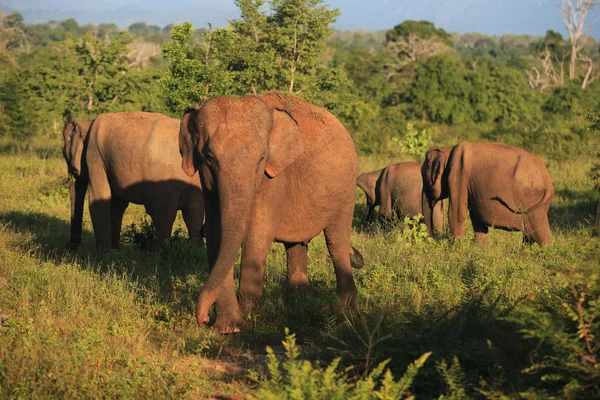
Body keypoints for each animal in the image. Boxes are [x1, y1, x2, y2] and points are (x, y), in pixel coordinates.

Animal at [62, 111, 205, 252]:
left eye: (64, 155)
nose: (71, 246)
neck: (87, 123)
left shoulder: (94, 156)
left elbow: (99, 198)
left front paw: (104, 253)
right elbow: (117, 204)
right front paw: (115, 251)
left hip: (164, 185)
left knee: (163, 216)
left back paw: (159, 254)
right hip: (195, 183)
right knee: (194, 216)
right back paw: (195, 252)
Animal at [179, 92, 360, 332]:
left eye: (261, 159)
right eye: (209, 158)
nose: (203, 319)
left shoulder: (275, 178)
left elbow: (257, 234)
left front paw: (248, 320)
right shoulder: (208, 185)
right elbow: (216, 235)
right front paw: (228, 328)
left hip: (347, 190)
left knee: (336, 241)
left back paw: (345, 312)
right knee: (296, 244)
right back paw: (299, 300)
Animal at [422, 142, 552, 245]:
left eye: (423, 176)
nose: (431, 239)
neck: (447, 150)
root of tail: (547, 180)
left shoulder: (458, 175)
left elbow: (456, 213)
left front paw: (456, 248)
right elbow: (476, 217)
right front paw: (482, 248)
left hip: (531, 199)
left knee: (540, 233)